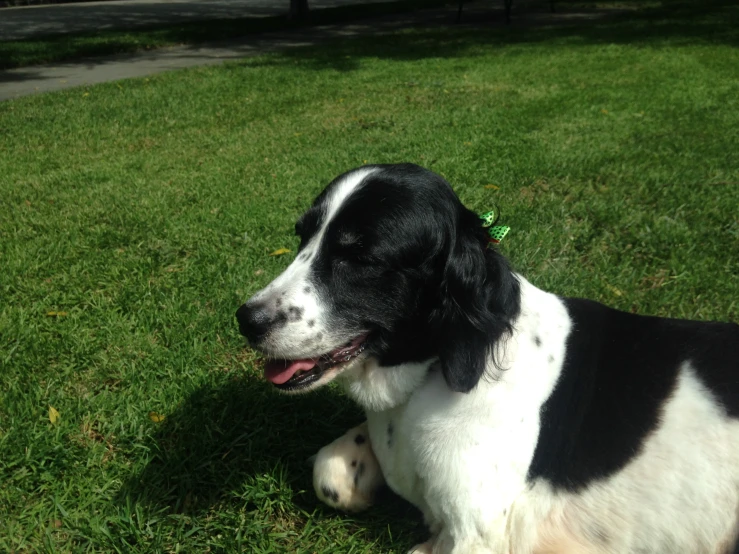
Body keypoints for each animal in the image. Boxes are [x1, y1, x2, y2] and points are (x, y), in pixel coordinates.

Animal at [237, 164, 739, 552]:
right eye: (302, 237)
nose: (246, 319)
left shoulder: (479, 535)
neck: (444, 367)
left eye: (359, 256)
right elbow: (330, 470)